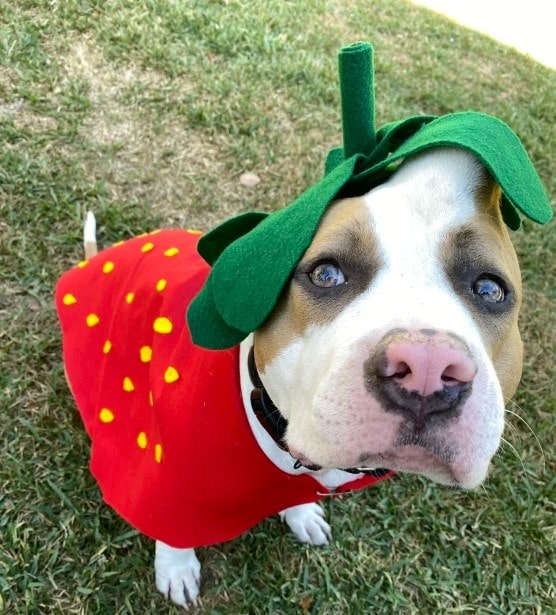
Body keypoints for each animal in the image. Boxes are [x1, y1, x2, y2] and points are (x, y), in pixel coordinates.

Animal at [56, 148, 524, 608]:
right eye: (326, 273)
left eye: (489, 289)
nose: (427, 368)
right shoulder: (164, 479)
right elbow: (172, 530)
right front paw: (176, 569)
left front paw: (301, 517)